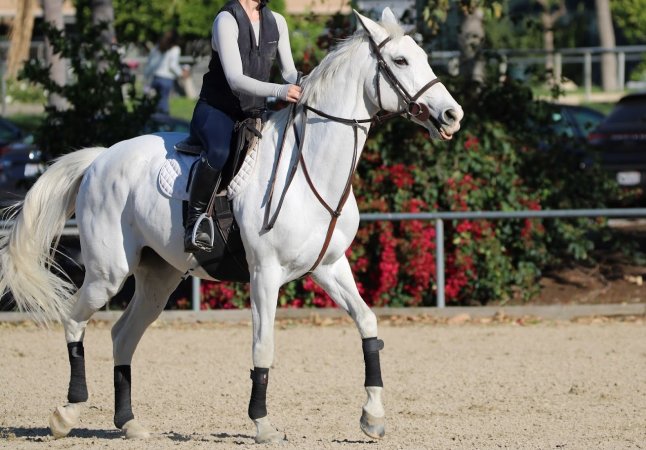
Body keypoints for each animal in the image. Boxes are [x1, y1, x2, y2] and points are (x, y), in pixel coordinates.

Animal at [0, 8, 463, 443]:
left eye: (424, 56)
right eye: (400, 60)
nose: (452, 115)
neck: (309, 167)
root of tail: (100, 157)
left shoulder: (330, 267)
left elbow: (368, 324)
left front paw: (372, 416)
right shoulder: (265, 274)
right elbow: (263, 346)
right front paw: (263, 424)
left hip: (157, 279)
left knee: (122, 336)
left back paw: (128, 423)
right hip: (107, 273)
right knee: (74, 320)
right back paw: (66, 413)